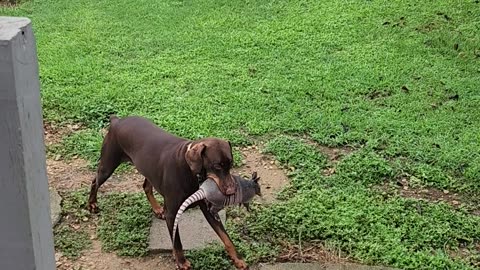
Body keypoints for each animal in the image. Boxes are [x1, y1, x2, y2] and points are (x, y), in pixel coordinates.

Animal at [86, 115, 249, 270]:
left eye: (231, 164)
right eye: (217, 166)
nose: (232, 191)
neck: (192, 172)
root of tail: (117, 121)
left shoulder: (209, 210)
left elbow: (226, 237)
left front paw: (238, 260)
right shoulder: (172, 214)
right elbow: (177, 242)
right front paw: (181, 262)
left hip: (149, 169)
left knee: (146, 186)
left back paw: (158, 209)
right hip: (108, 165)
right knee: (95, 182)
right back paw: (92, 204)